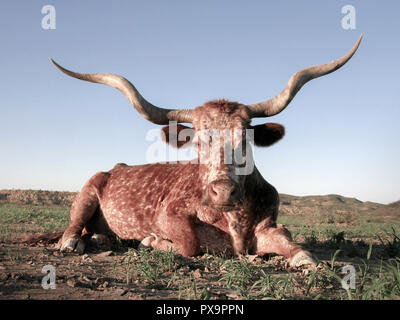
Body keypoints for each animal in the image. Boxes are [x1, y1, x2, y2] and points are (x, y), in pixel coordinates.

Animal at [47, 35, 362, 268]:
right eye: (198, 142)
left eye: (245, 137)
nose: (223, 191)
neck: (234, 220)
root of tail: (114, 168)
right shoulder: (168, 215)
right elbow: (190, 244)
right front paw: (152, 242)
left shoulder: (267, 226)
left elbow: (291, 242)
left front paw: (303, 258)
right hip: (87, 192)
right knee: (73, 228)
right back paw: (76, 242)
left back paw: (99, 239)